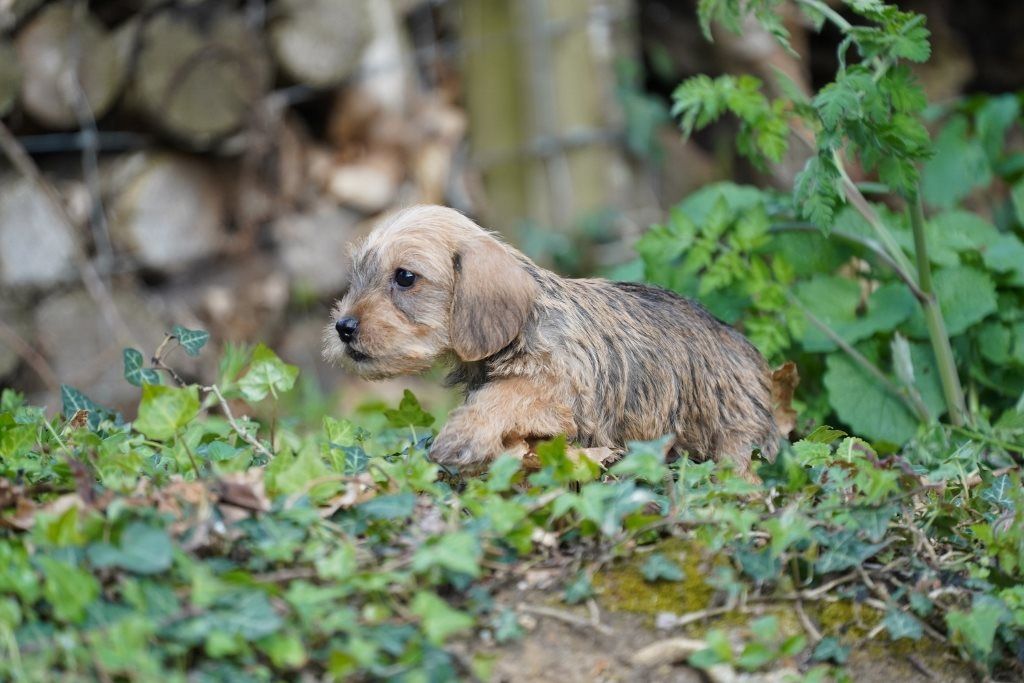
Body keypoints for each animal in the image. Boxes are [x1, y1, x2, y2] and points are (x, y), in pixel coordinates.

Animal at [323, 205, 778, 479]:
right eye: (358, 273)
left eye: (405, 277)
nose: (343, 327)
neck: (526, 324)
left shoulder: (560, 389)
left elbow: (507, 395)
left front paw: (463, 435)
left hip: (735, 436)